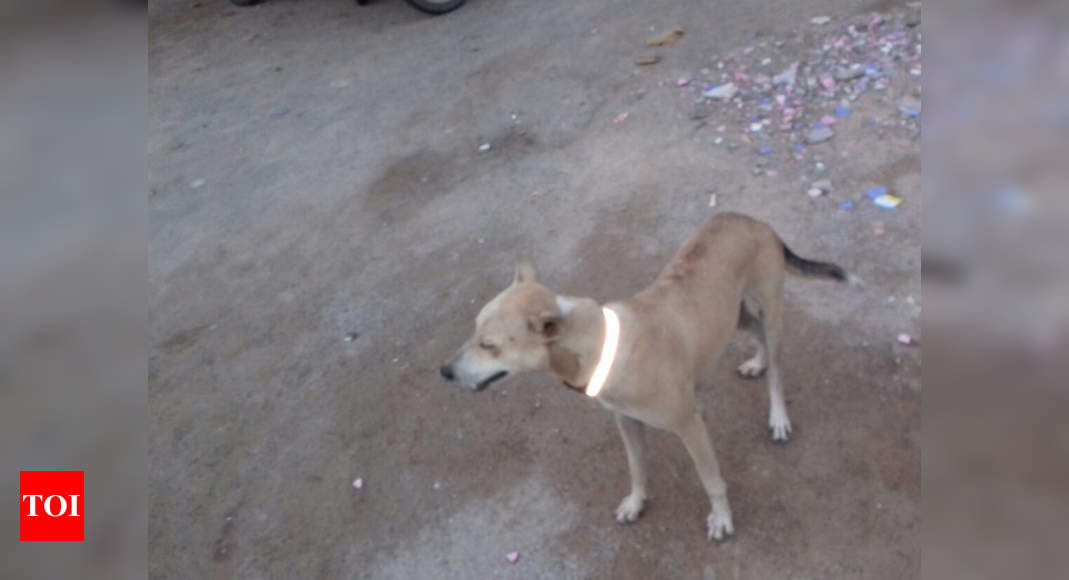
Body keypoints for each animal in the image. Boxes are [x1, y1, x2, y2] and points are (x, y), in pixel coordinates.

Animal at [436, 212, 850, 540]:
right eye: (473, 330)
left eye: (488, 345)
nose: (444, 371)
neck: (604, 344)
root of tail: (755, 221)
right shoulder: (626, 423)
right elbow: (637, 469)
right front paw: (636, 503)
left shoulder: (690, 425)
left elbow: (711, 479)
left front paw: (721, 518)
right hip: (733, 315)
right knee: (757, 339)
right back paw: (756, 363)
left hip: (771, 311)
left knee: (777, 371)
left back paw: (778, 416)